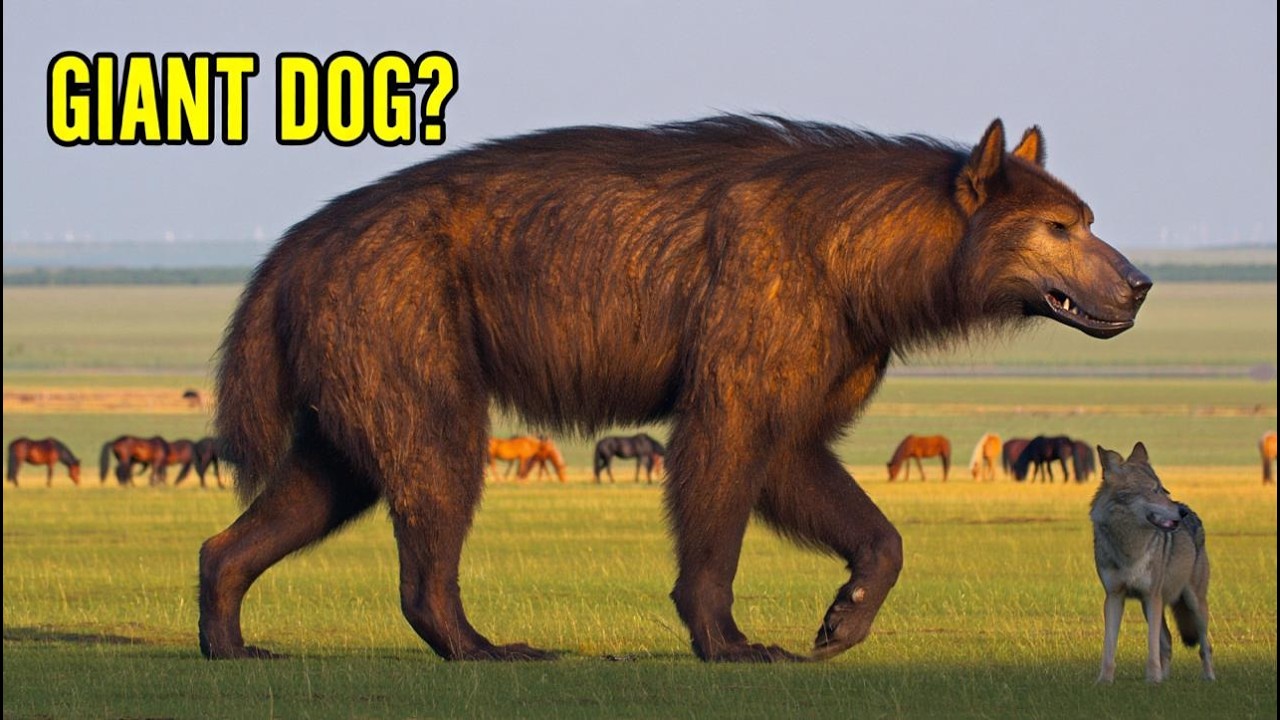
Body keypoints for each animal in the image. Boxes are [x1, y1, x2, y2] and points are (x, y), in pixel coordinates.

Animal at [201, 115, 1150, 662]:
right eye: (1059, 227)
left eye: (1086, 218)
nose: (1137, 283)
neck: (864, 265)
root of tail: (288, 252)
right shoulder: (754, 316)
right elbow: (723, 467)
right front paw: (731, 638)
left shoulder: (823, 353)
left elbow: (813, 477)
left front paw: (842, 617)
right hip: (403, 309)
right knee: (434, 460)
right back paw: (488, 644)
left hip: (350, 365)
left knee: (317, 484)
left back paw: (231, 632)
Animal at [1091, 443, 1214, 683]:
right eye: (1154, 490)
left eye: (1164, 489)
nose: (1181, 512)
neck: (1129, 546)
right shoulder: (1114, 597)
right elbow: (1109, 647)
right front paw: (1104, 681)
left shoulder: (1151, 596)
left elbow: (1151, 647)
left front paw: (1152, 679)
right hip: (1150, 607)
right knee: (1167, 642)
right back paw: (1164, 680)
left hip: (1194, 604)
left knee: (1205, 647)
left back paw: (1209, 678)